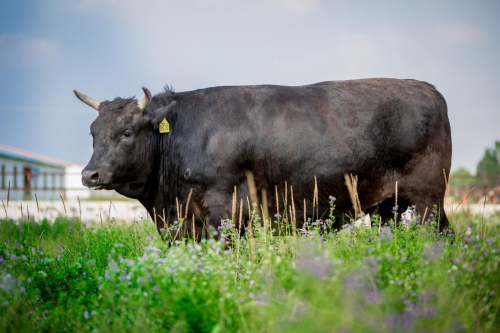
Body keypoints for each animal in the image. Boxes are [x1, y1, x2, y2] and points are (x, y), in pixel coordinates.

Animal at [75, 78, 454, 233]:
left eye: (127, 132)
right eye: (92, 132)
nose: (89, 175)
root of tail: (428, 88)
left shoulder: (223, 211)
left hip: (429, 199)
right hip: (388, 206)